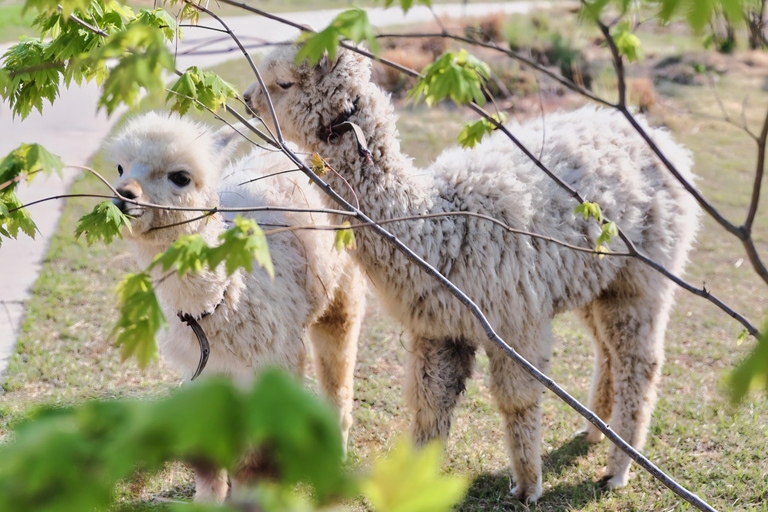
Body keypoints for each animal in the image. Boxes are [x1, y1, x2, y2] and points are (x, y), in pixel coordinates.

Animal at [108, 111, 366, 503]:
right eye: (121, 167)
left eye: (181, 176)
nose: (124, 196)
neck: (218, 307)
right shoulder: (205, 369)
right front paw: (210, 500)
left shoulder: (271, 362)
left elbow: (255, 452)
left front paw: (251, 496)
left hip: (343, 287)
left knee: (338, 375)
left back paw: (337, 451)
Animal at [243, 46, 700, 502]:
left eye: (283, 82)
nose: (247, 98)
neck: (440, 229)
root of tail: (664, 141)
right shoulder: (439, 327)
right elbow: (430, 406)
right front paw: (414, 483)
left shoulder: (515, 319)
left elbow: (517, 400)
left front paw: (528, 487)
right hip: (596, 280)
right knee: (607, 351)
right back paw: (593, 433)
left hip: (643, 276)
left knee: (639, 362)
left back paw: (617, 469)